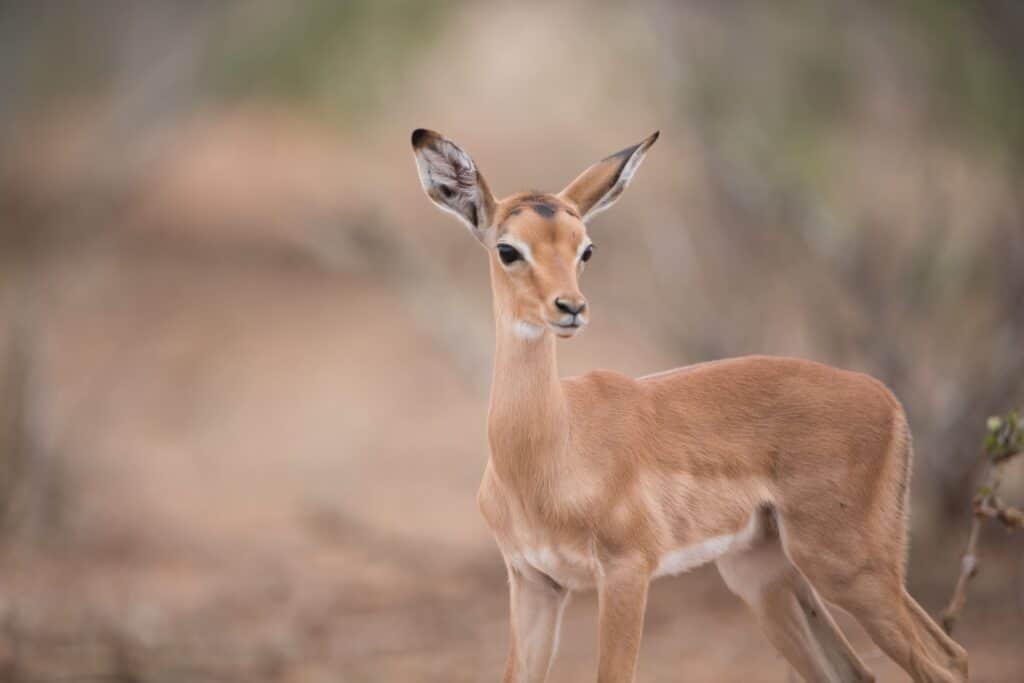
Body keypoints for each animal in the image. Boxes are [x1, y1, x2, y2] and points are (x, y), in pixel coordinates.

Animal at [410, 128, 968, 683]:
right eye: (507, 249)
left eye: (585, 248)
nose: (570, 308)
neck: (548, 455)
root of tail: (887, 399)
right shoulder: (534, 583)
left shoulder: (626, 572)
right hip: (764, 573)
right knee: (872, 668)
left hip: (848, 567)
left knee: (945, 663)